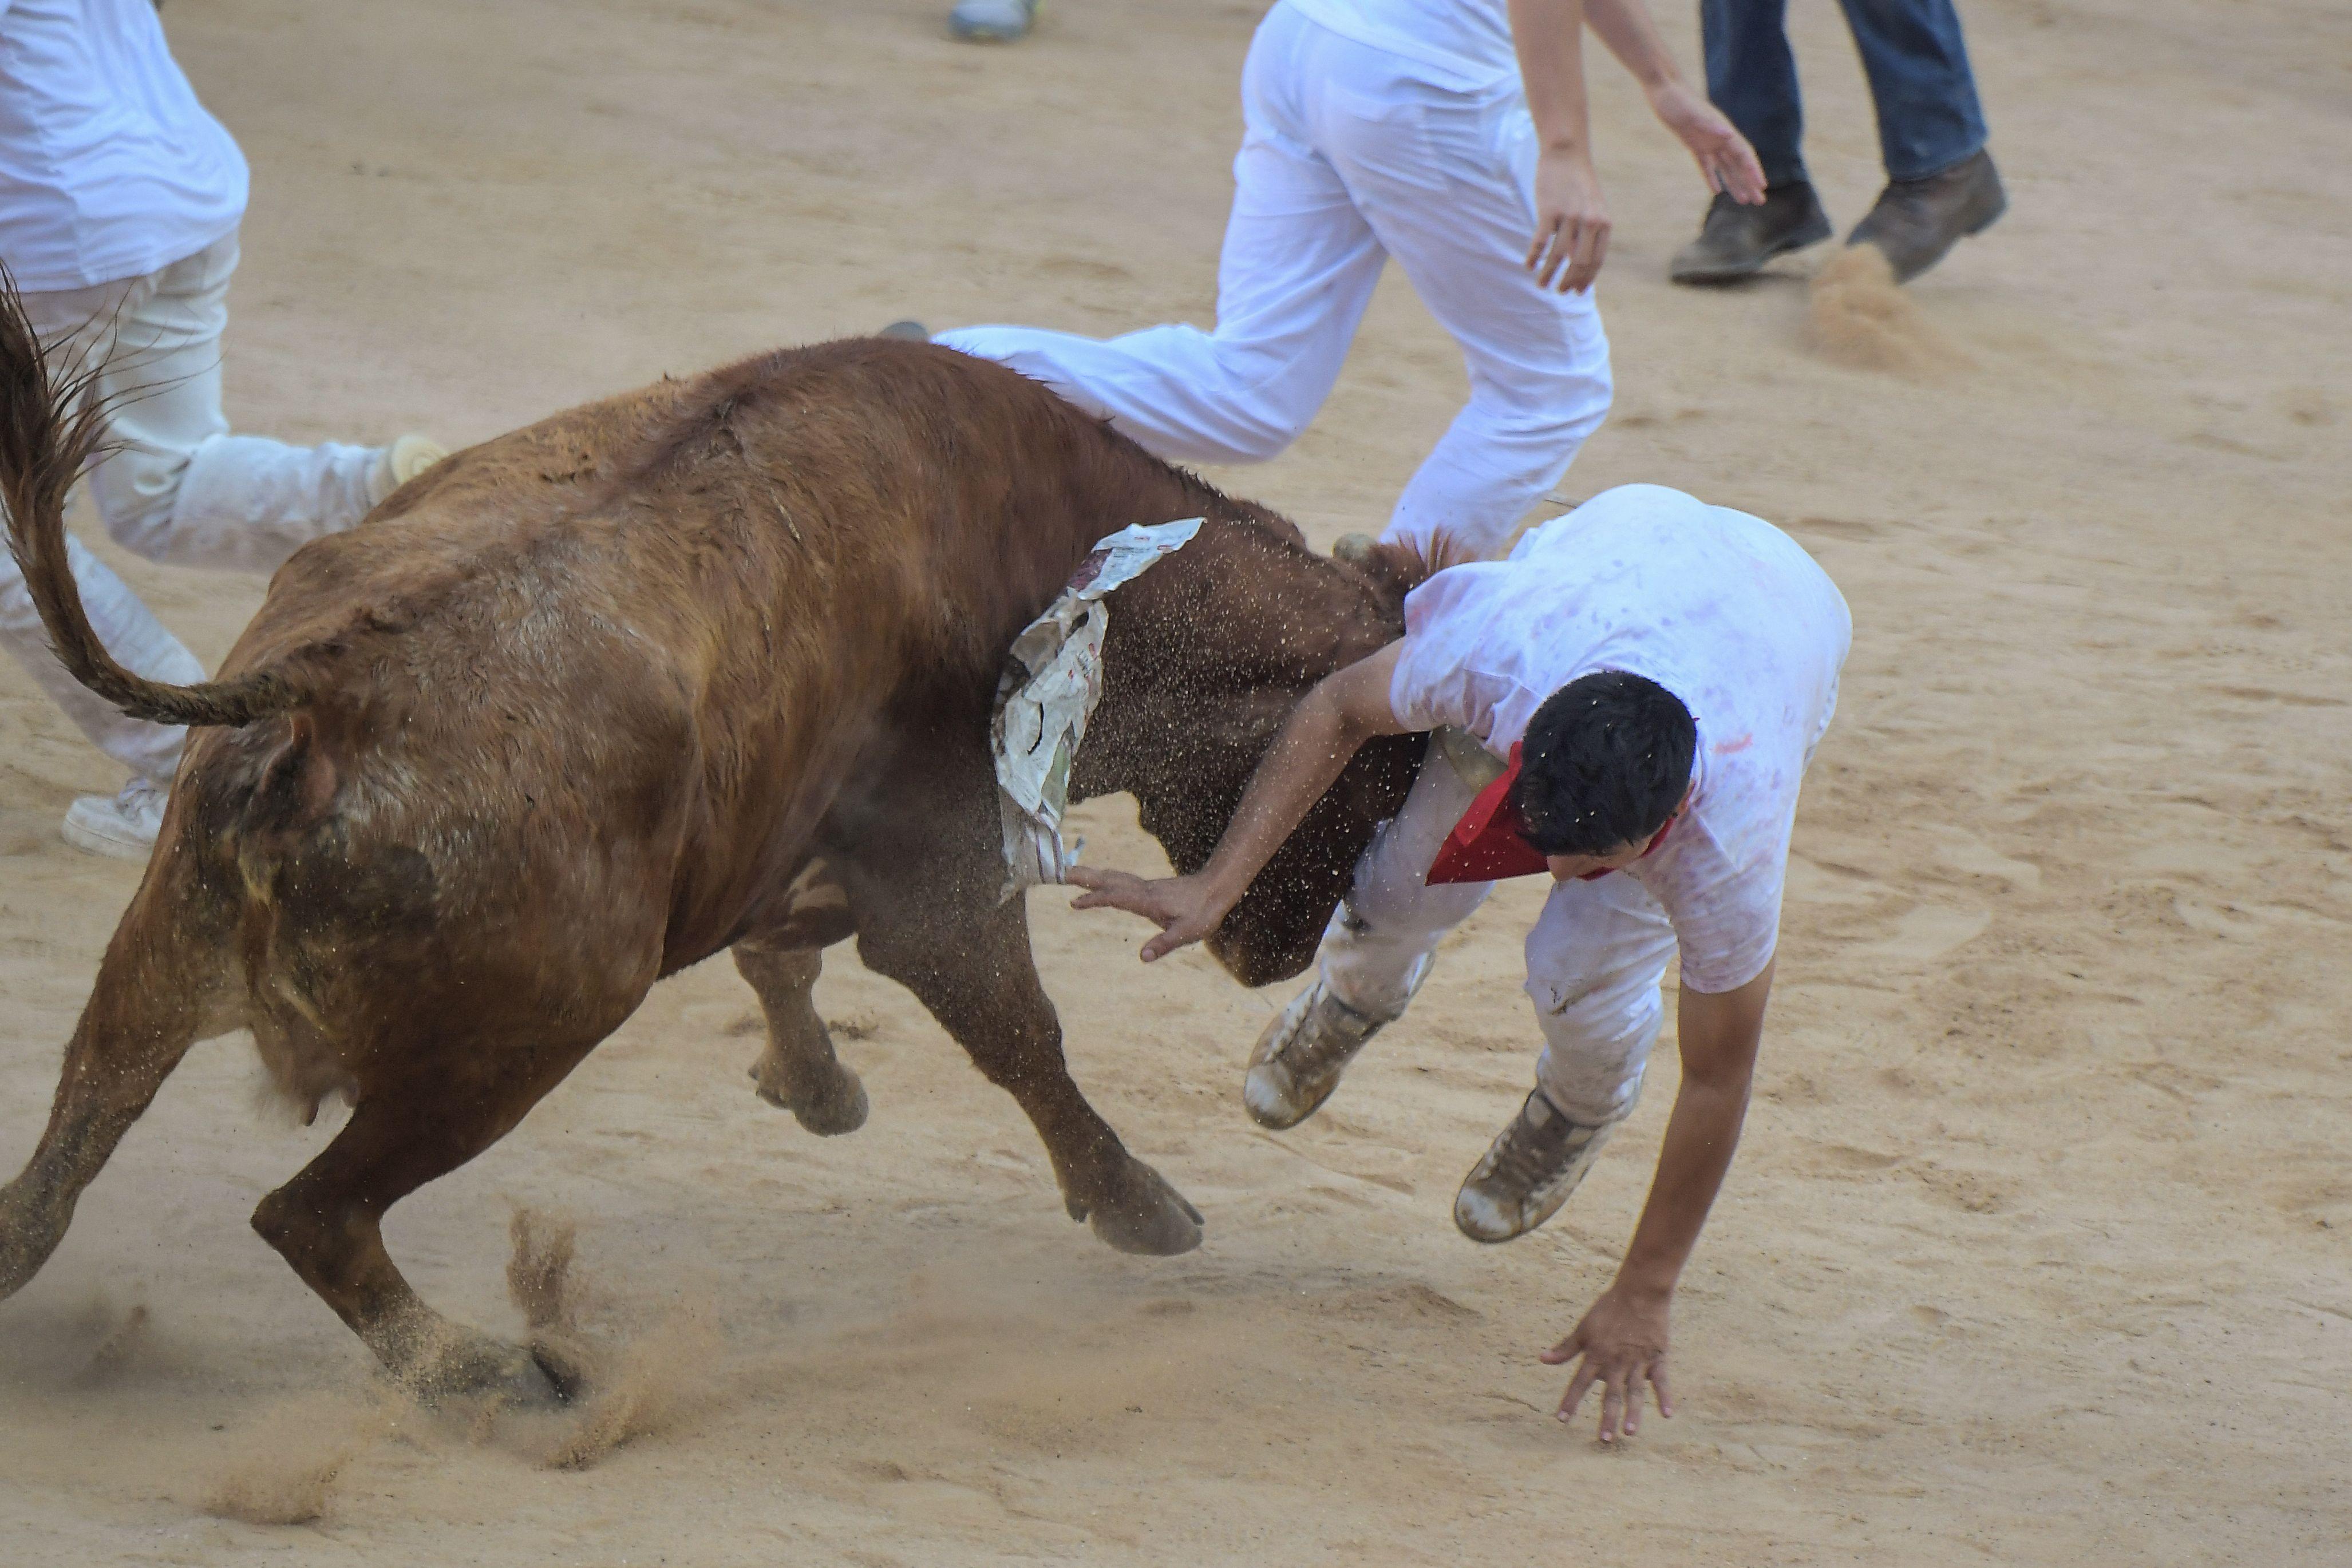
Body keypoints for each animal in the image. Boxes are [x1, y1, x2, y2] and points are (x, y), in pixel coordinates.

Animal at [0, 282, 1411, 1401]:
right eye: (1377, 776)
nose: (1279, 952)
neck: (1078, 552)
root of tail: (321, 698)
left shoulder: (789, 841)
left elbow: (790, 950)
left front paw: (814, 1086)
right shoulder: (938, 871)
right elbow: (1018, 1031)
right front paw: (1140, 1207)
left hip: (154, 969)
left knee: (60, 1177)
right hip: (527, 1034)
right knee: (313, 1215)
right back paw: (505, 1374)